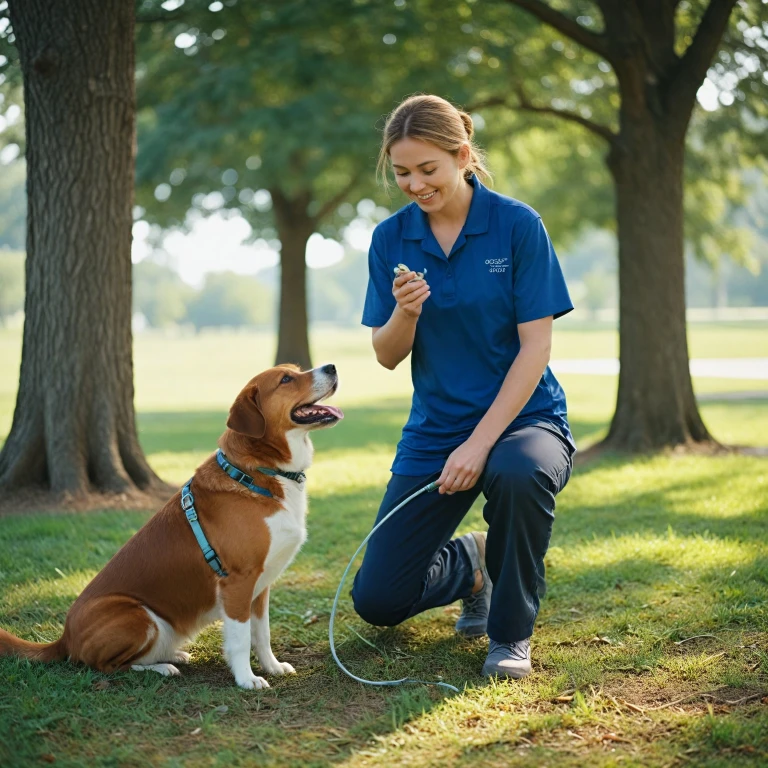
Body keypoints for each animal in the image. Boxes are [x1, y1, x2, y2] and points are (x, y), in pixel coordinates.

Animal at [0, 364, 342, 688]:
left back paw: (171, 655)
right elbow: (241, 638)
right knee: (107, 666)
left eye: (296, 370)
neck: (257, 472)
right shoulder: (238, 582)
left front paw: (272, 666)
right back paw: (162, 667)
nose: (332, 367)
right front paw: (246, 679)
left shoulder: (261, 586)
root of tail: (64, 639)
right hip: (139, 615)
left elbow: (262, 633)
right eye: (286, 379)